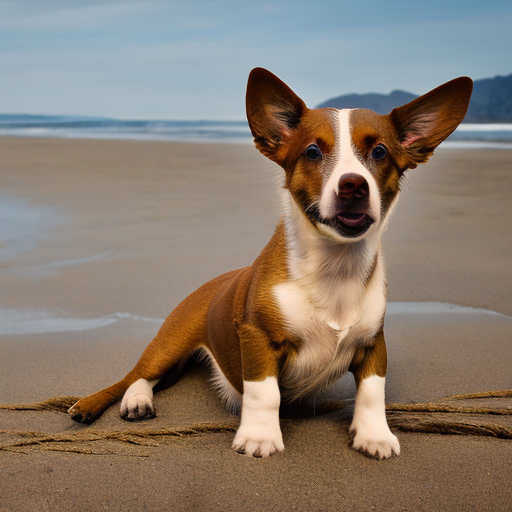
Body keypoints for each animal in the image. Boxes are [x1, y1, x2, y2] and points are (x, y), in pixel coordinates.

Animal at [68, 67, 472, 460]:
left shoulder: (374, 344)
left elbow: (373, 392)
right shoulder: (258, 339)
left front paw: (374, 434)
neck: (333, 267)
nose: (354, 186)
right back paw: (118, 401)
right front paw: (260, 437)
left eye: (381, 151)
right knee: (135, 375)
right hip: (169, 343)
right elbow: (265, 393)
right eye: (312, 152)